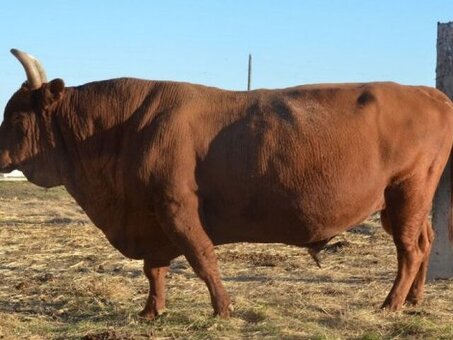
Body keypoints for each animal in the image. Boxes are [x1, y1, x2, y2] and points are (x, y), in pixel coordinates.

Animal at [0, 48, 452, 318]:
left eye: (17, 116)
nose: (0, 155)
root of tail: (429, 93)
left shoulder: (176, 207)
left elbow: (202, 259)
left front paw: (222, 309)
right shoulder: (152, 217)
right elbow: (154, 268)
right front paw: (151, 312)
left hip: (407, 191)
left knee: (410, 250)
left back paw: (390, 305)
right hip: (399, 203)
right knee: (425, 242)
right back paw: (414, 299)